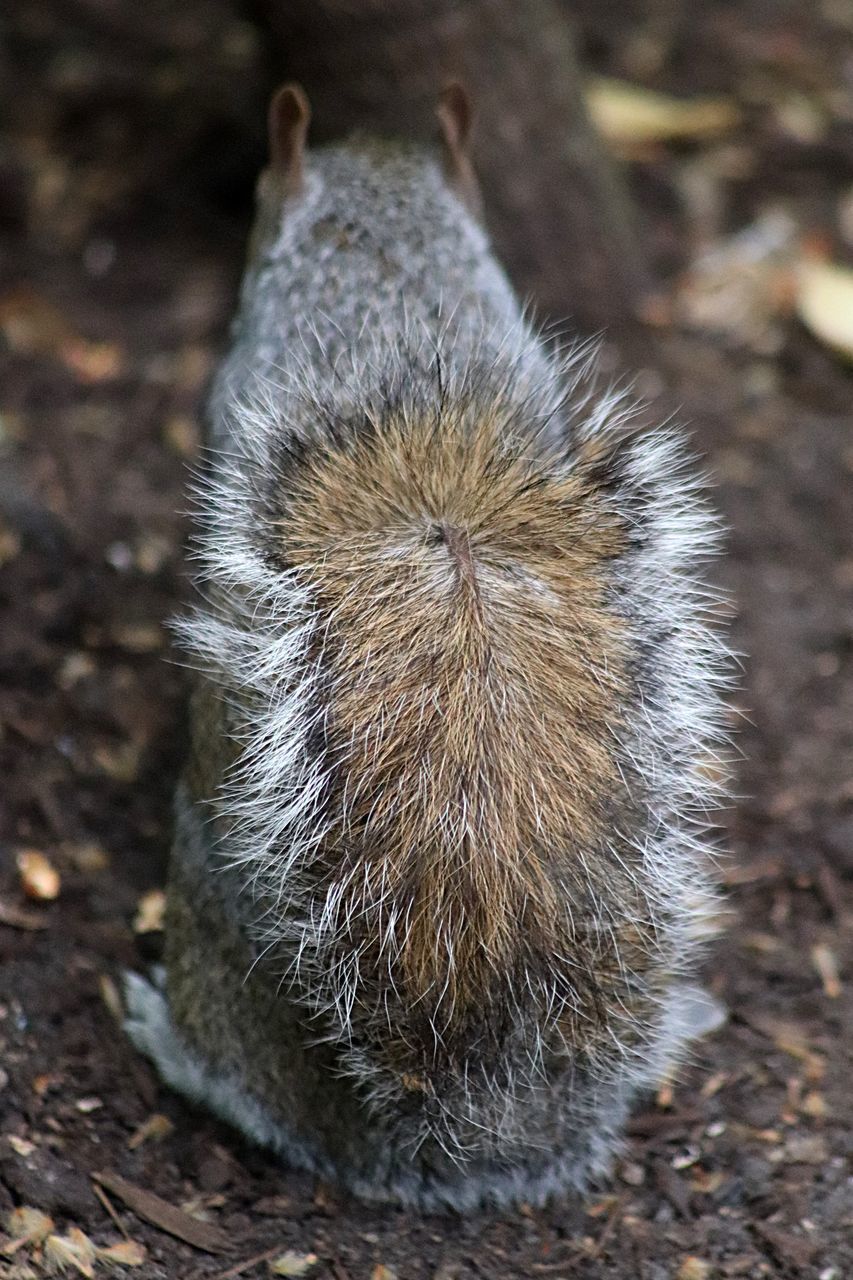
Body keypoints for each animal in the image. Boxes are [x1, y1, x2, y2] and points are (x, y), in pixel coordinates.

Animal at [126, 82, 732, 1208]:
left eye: (260, 197)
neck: (387, 278)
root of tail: (470, 1145)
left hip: (213, 912)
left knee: (254, 1093)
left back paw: (175, 1044)